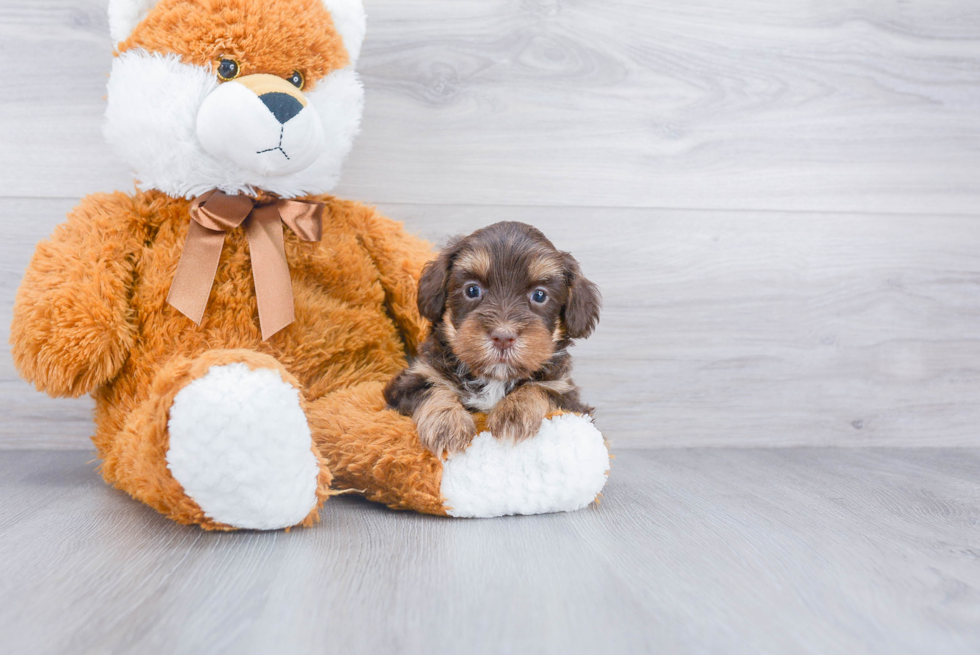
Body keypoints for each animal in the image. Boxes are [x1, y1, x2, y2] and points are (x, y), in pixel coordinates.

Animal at [380, 220, 596, 456]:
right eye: (472, 290)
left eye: (540, 295)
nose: (503, 337)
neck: (494, 379)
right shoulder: (409, 381)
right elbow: (432, 389)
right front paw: (447, 424)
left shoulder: (569, 398)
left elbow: (541, 388)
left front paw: (514, 412)